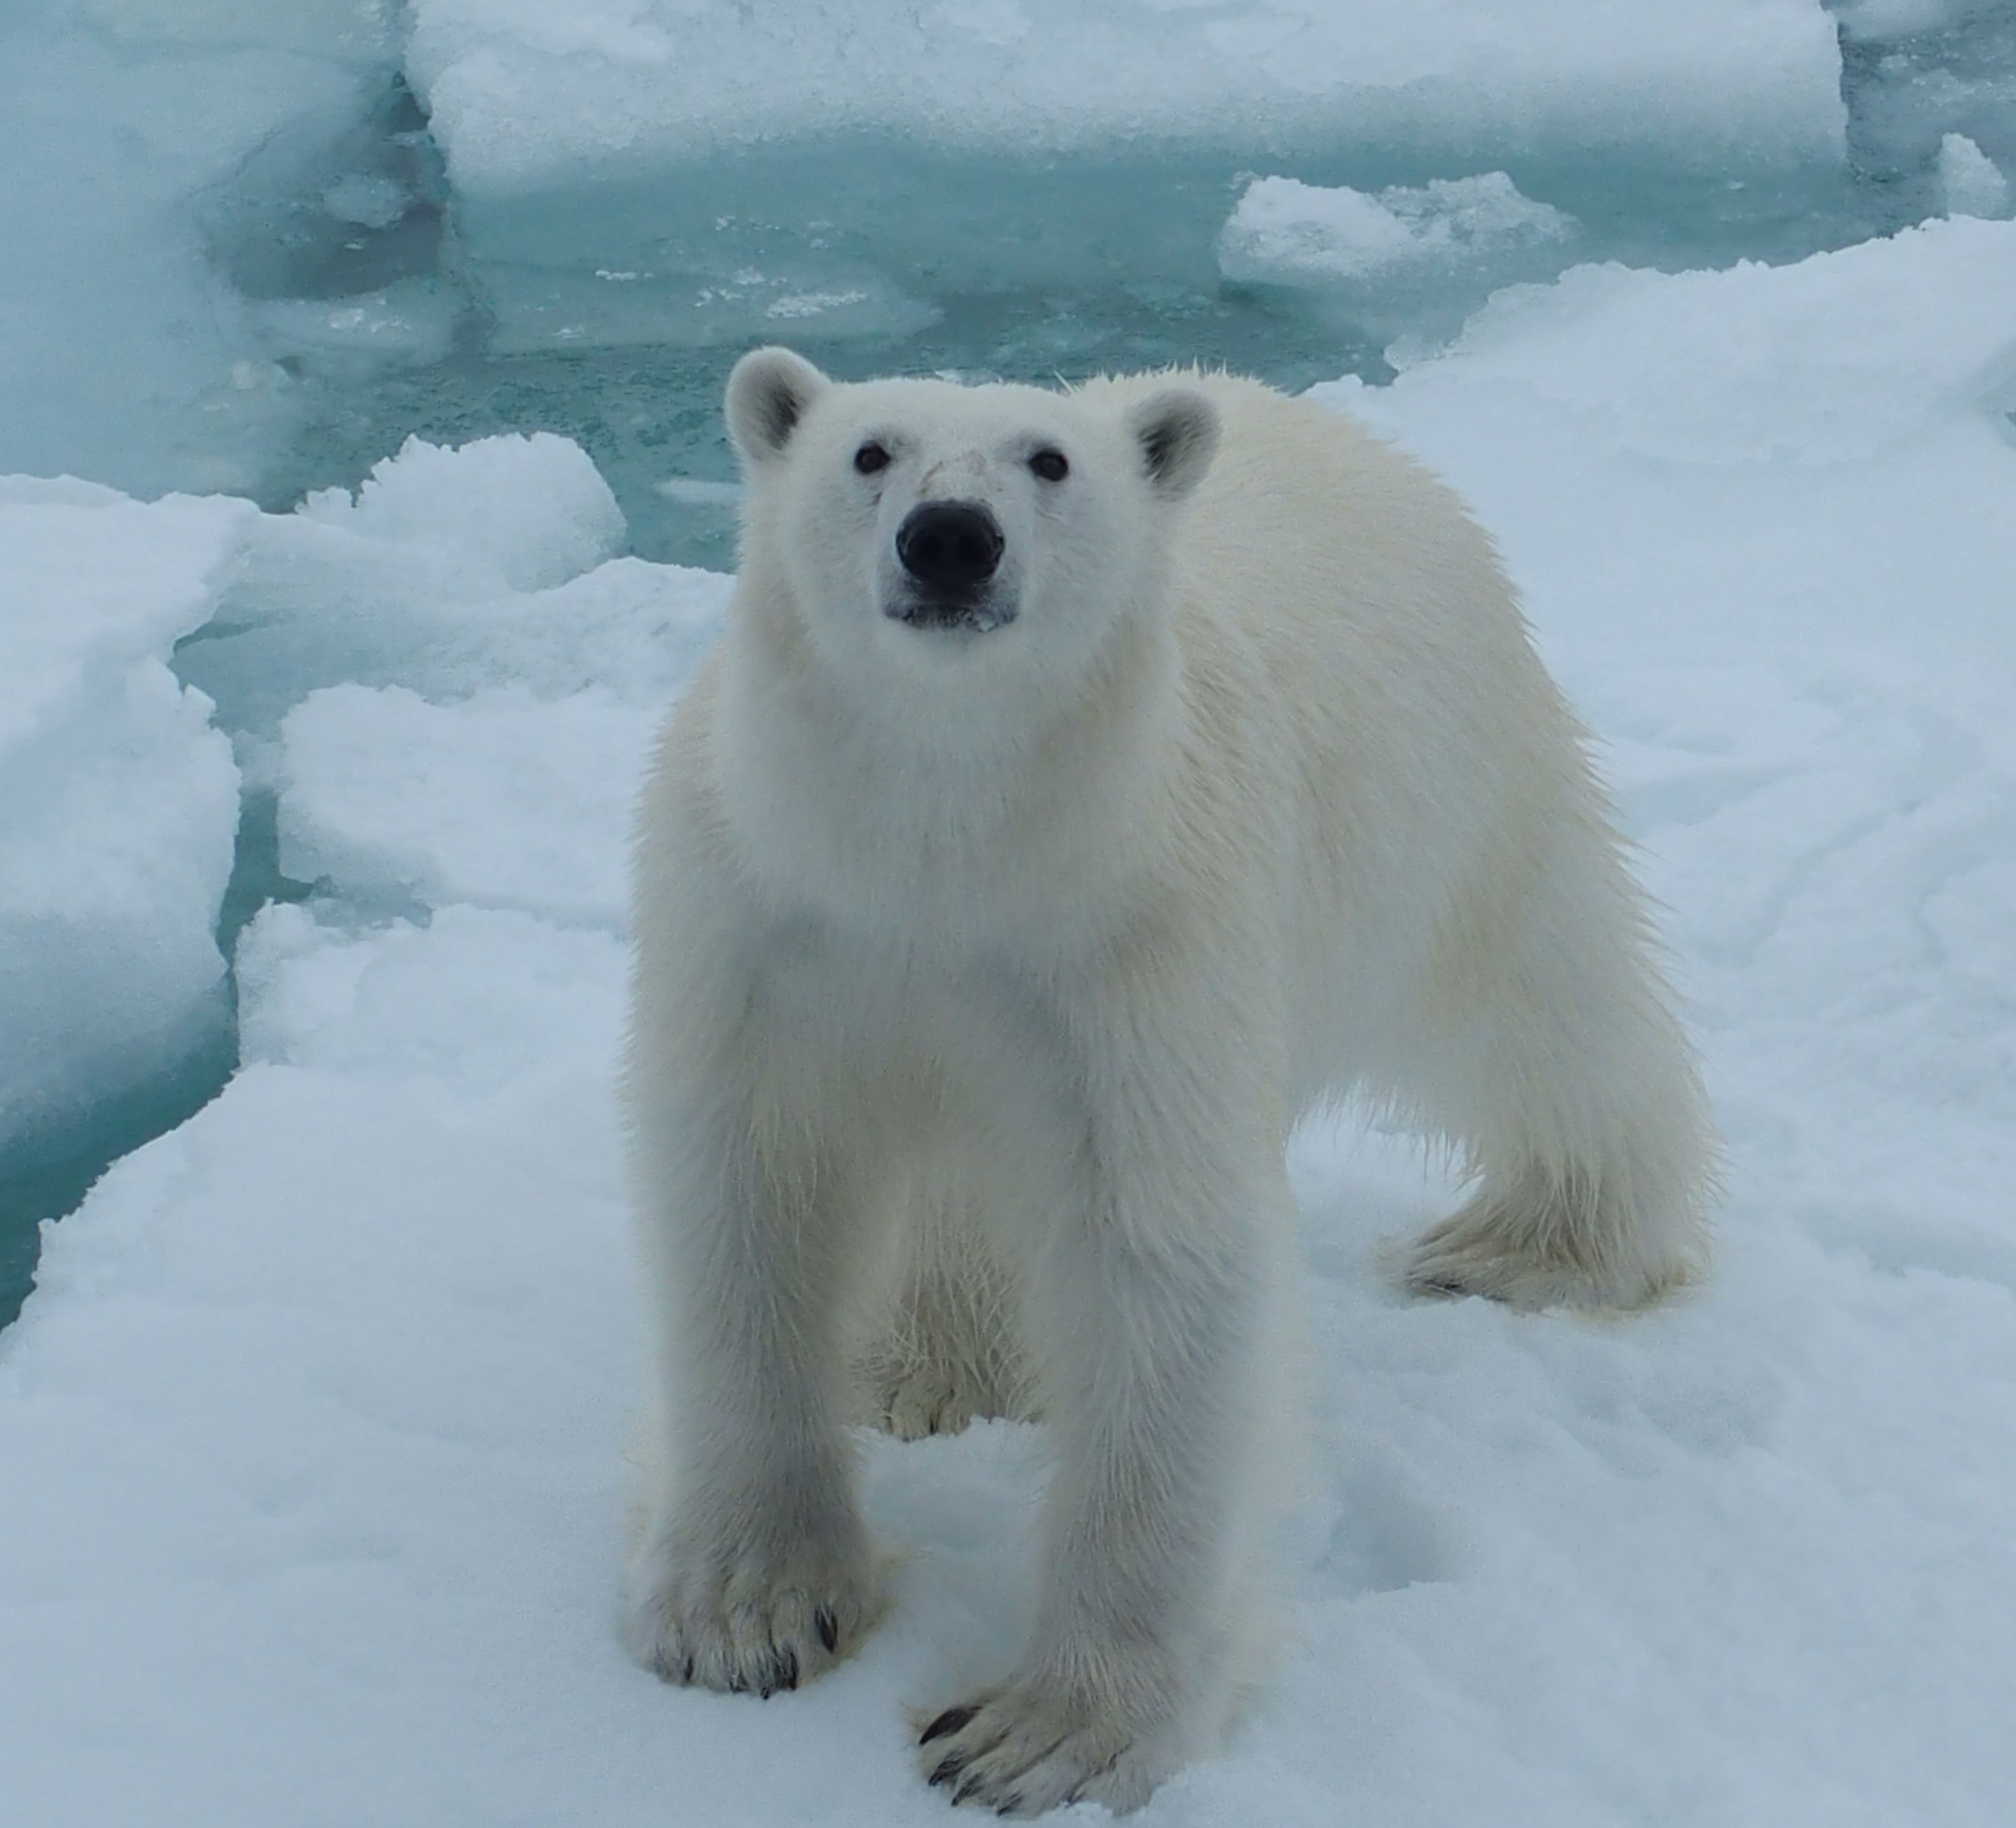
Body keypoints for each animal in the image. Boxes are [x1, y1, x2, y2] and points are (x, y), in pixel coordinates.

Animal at [621, 346, 1709, 1814]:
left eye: (1048, 460)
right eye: (869, 451)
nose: (949, 538)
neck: (942, 843)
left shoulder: (1138, 939)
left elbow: (1158, 1258)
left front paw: (1041, 1731)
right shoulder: (765, 919)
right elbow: (748, 1202)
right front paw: (746, 1611)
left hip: (1455, 791)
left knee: (1542, 1003)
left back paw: (1533, 1240)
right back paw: (931, 1369)